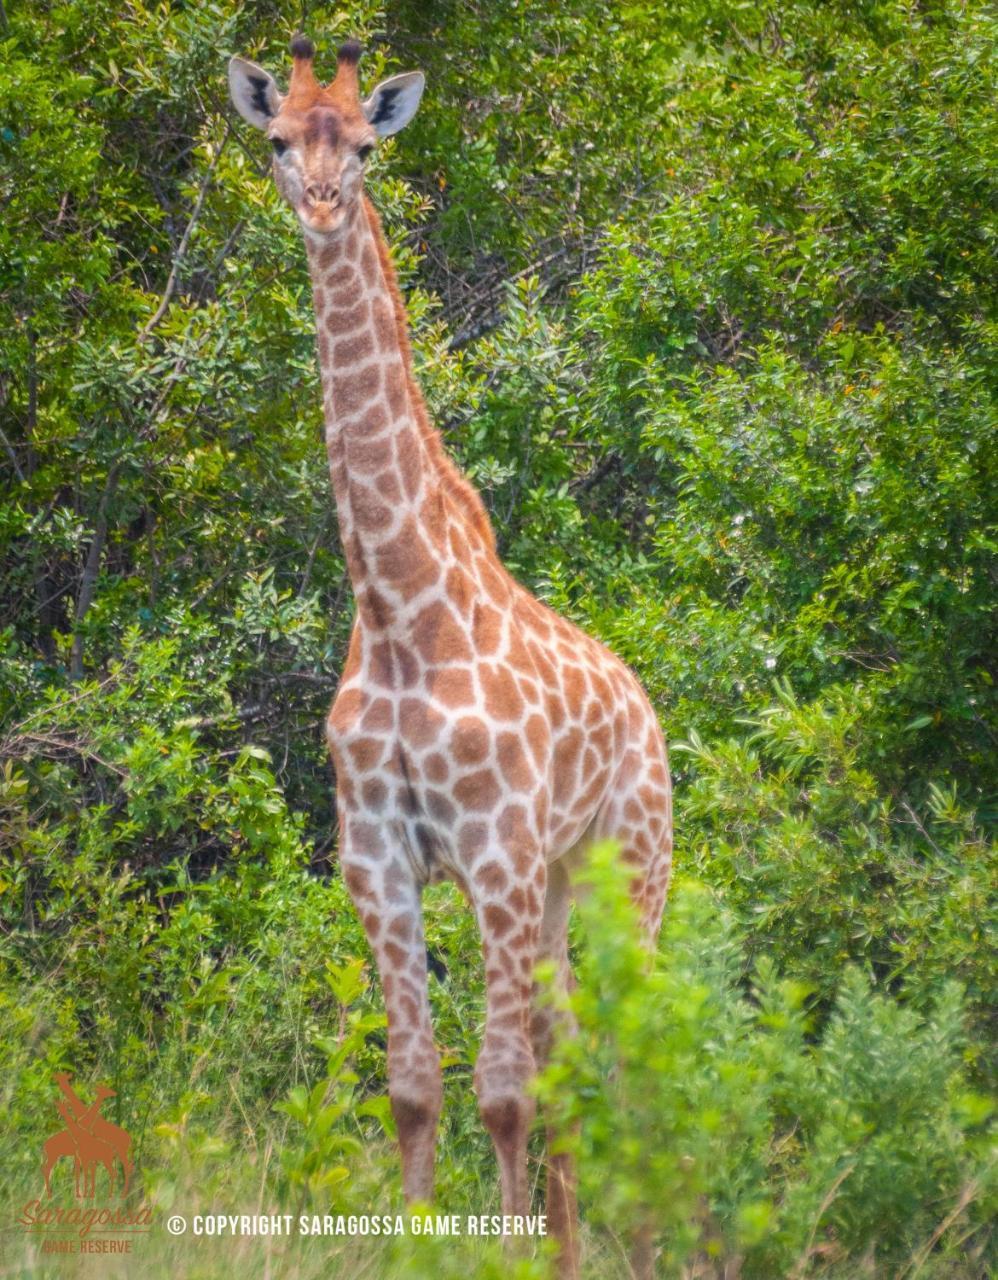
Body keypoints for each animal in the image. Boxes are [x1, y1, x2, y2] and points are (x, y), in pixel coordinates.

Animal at [230, 35, 675, 1274]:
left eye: (366, 146)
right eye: (276, 139)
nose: (321, 204)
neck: (394, 606)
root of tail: (645, 707)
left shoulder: (493, 851)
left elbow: (504, 1093)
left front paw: (500, 1248)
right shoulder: (377, 858)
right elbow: (417, 1087)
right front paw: (422, 1244)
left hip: (630, 866)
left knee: (627, 1056)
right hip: (565, 885)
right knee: (574, 1050)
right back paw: (574, 1248)